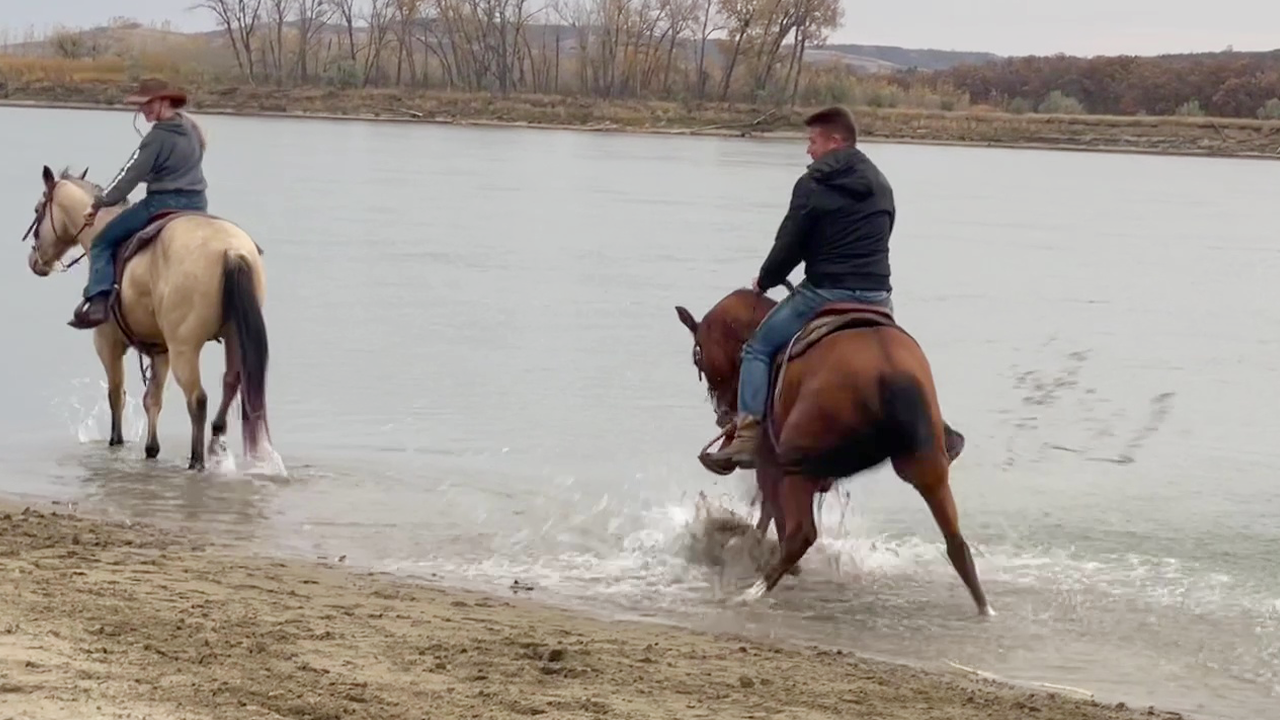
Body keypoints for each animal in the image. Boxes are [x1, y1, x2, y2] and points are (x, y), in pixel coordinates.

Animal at [23, 165, 272, 471]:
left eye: (38, 209)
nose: (35, 261)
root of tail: (231, 251)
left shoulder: (107, 342)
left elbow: (116, 394)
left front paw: (116, 442)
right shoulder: (159, 350)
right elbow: (152, 399)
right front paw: (151, 449)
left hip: (184, 348)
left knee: (197, 399)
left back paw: (197, 460)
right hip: (233, 337)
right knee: (230, 382)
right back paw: (215, 442)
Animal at [674, 285, 992, 616]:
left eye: (698, 357)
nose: (724, 414)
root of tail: (886, 372)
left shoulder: (769, 466)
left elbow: (771, 515)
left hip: (797, 467)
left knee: (801, 535)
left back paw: (752, 593)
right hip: (926, 466)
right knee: (956, 543)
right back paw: (985, 609)